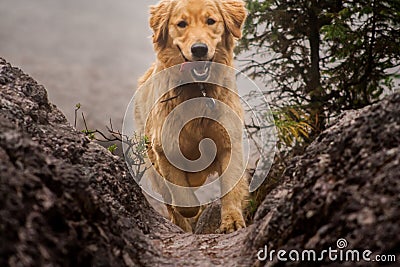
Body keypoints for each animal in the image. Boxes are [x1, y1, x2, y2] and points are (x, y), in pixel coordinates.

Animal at [134, 0, 247, 234]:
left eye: (211, 21)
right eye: (182, 24)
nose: (199, 49)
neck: (199, 91)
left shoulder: (229, 142)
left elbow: (231, 186)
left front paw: (231, 220)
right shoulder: (165, 149)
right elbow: (183, 199)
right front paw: (194, 209)